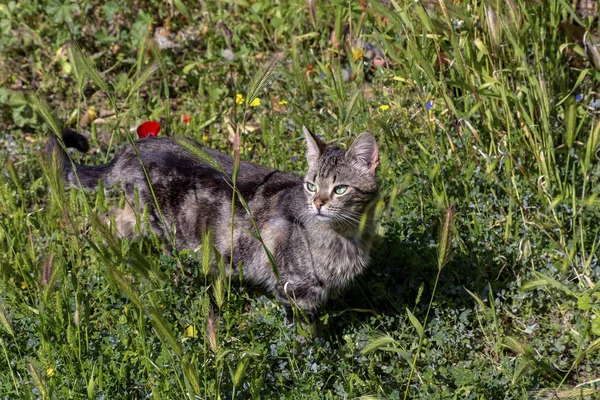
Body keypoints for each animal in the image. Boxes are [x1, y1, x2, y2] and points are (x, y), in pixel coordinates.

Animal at [45, 126, 380, 318]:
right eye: (311, 185)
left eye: (340, 189)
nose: (318, 203)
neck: (346, 238)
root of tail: (136, 146)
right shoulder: (294, 292)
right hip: (164, 230)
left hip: (135, 217)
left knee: (106, 223)